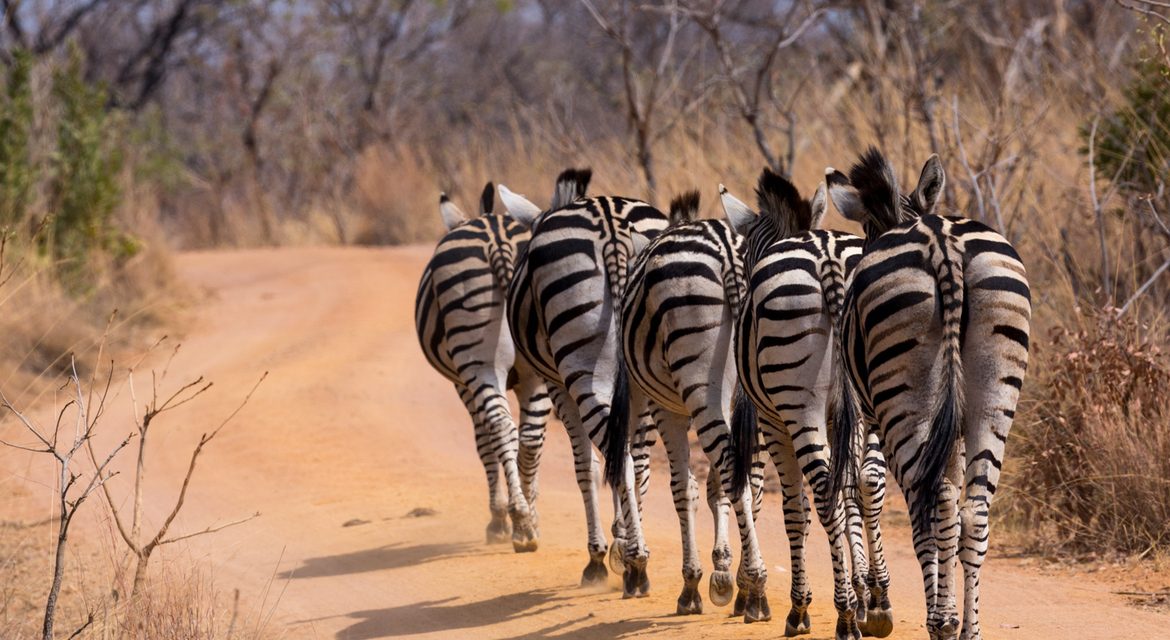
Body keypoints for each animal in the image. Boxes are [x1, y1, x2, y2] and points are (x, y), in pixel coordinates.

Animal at [414, 182, 552, 553]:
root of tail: (496, 236)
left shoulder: (462, 384)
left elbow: (483, 443)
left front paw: (498, 519)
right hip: (536, 371)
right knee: (529, 437)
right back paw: (530, 521)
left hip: (478, 363)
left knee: (503, 428)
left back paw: (519, 521)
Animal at [500, 170, 670, 594]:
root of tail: (612, 224)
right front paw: (620, 542)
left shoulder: (556, 385)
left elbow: (586, 466)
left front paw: (600, 555)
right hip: (645, 375)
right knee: (637, 462)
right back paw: (635, 557)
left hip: (582, 369)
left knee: (619, 460)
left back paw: (637, 567)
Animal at [607, 190, 771, 621]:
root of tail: (728, 251)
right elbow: (710, 489)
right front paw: (724, 573)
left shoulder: (666, 407)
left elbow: (681, 487)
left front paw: (690, 583)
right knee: (746, 478)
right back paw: (751, 588)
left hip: (697, 384)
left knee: (733, 475)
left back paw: (757, 590)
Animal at [724, 168, 895, 640]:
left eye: (746, 260)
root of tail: (830, 260)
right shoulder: (842, 415)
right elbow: (853, 491)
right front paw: (868, 596)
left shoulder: (773, 422)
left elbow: (794, 511)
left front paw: (803, 607)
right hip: (870, 394)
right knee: (864, 484)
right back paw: (872, 606)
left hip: (797, 408)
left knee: (824, 498)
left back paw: (841, 617)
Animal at [826, 148, 1031, 640]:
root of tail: (943, 244)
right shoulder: (953, 428)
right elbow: (954, 505)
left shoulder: (877, 418)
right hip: (993, 396)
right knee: (972, 511)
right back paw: (967, 629)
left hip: (904, 405)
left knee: (928, 504)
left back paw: (939, 622)